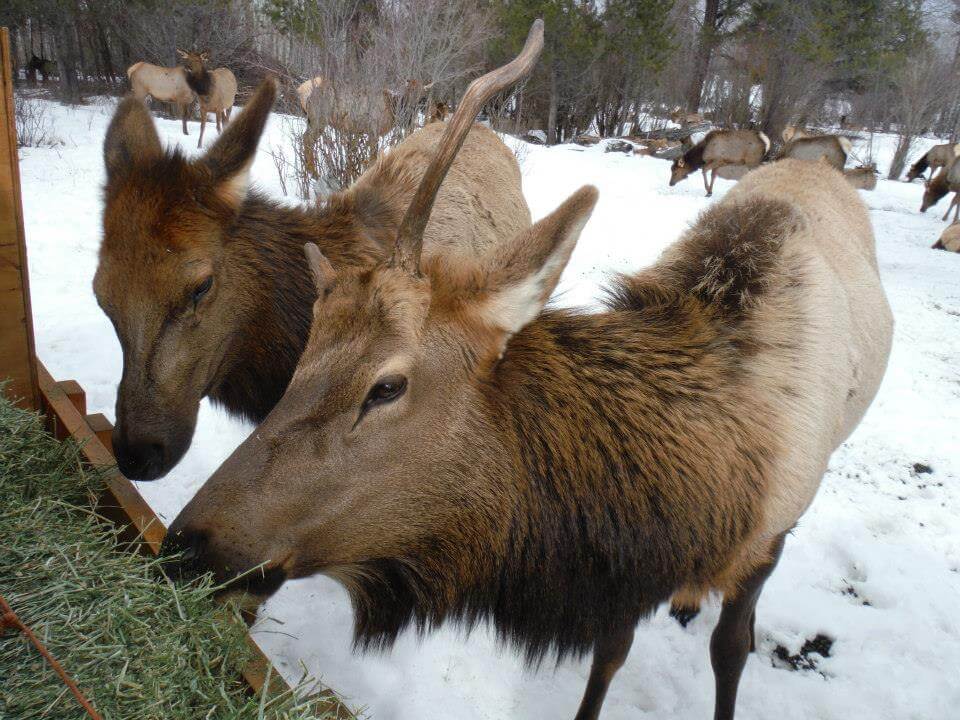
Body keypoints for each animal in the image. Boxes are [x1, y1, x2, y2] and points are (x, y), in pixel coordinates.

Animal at [163, 19, 892, 720]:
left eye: (387, 386)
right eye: (305, 355)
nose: (185, 543)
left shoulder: (771, 533)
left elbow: (731, 650)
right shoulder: (621, 577)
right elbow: (611, 650)